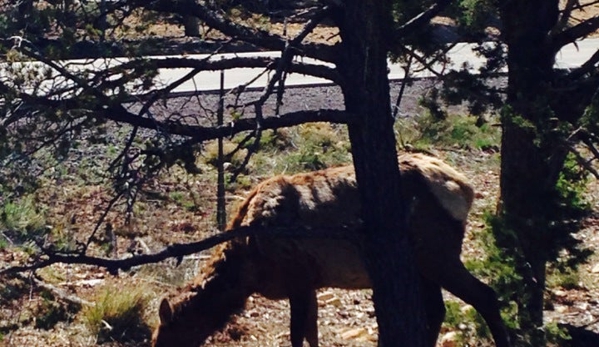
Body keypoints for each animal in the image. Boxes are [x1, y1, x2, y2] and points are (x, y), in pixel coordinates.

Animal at [151, 154, 510, 347]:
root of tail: (465, 188)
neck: (248, 270)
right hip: (423, 263)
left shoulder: (297, 278)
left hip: (436, 254)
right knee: (437, 309)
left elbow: (298, 335)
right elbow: (311, 333)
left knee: (485, 296)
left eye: (164, 334)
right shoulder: (310, 282)